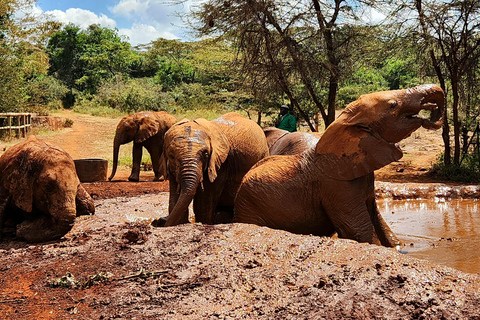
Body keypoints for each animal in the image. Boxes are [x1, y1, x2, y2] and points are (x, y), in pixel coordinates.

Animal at [234, 84, 444, 248]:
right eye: (393, 105)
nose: (430, 109)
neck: (344, 123)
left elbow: (381, 224)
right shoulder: (336, 187)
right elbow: (359, 231)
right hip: (249, 206)